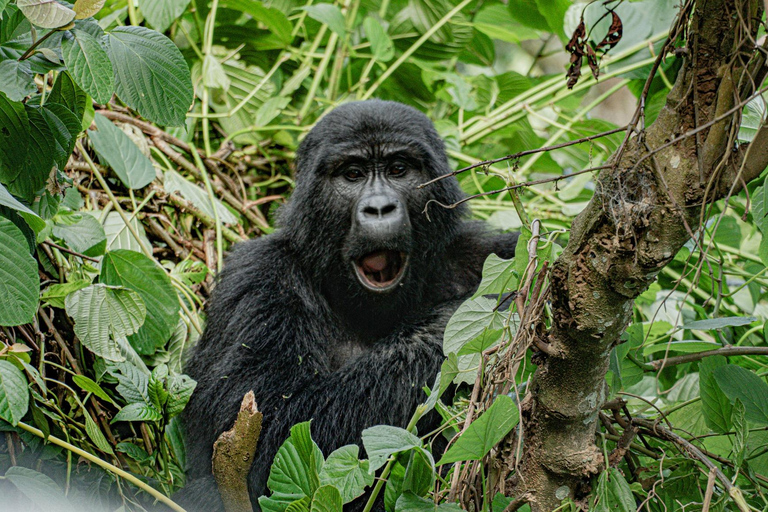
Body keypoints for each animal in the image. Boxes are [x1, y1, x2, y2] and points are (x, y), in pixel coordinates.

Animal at [177, 100, 520, 512]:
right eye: (353, 174)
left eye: (398, 169)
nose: (379, 208)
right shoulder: (257, 279)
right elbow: (271, 434)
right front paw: (488, 306)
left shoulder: (483, 252)